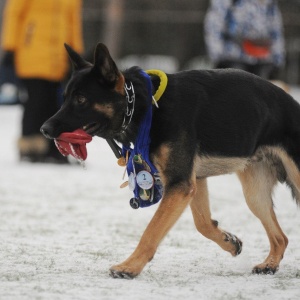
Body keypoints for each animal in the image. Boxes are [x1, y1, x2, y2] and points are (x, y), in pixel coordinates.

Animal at [40, 42, 300, 278]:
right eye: (65, 97)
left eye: (81, 99)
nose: (44, 129)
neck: (145, 107)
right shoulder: (193, 181)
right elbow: (202, 223)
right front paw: (229, 241)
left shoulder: (180, 185)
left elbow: (151, 230)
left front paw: (130, 267)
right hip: (255, 195)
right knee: (281, 237)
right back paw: (269, 264)